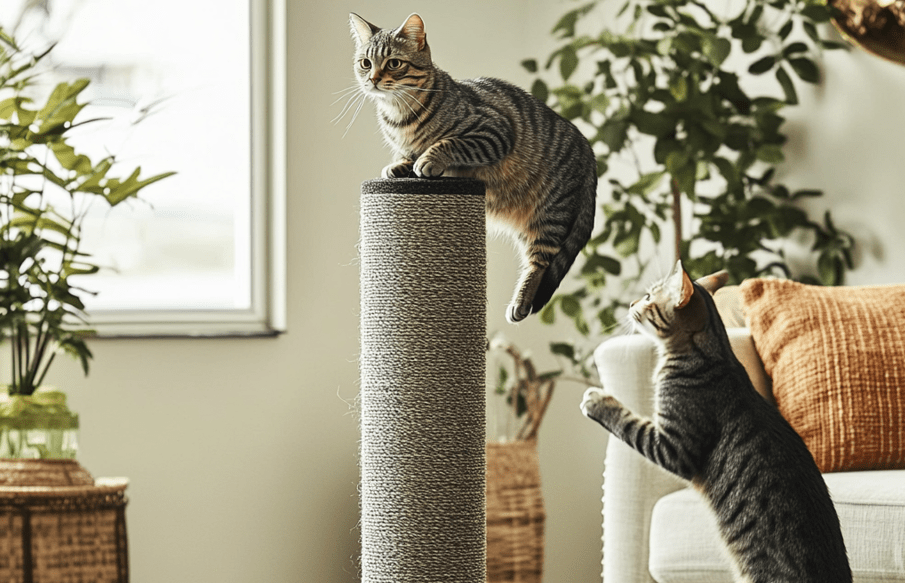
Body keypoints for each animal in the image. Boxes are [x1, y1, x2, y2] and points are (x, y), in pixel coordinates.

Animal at [344, 12, 592, 324]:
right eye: (366, 63)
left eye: (394, 63)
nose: (374, 79)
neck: (399, 116)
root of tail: (588, 148)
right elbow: (407, 155)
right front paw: (399, 165)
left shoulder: (492, 132)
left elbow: (448, 143)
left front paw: (428, 160)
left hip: (550, 214)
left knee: (541, 262)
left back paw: (520, 302)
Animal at [580, 264, 848, 583]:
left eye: (647, 297)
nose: (632, 303)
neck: (714, 354)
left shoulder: (674, 447)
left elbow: (630, 423)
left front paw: (597, 401)